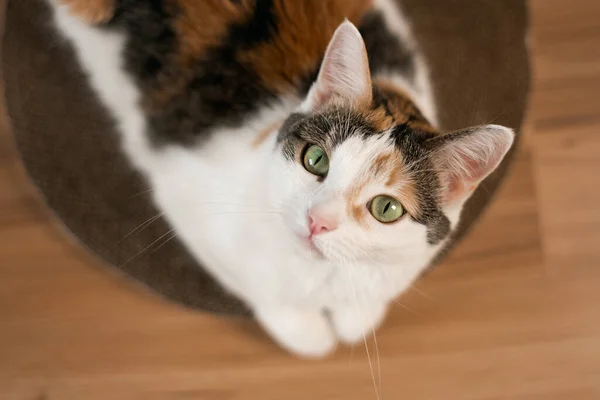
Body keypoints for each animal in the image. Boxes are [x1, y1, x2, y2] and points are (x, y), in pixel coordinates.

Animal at [49, 0, 512, 356]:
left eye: (386, 208)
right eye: (316, 160)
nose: (317, 221)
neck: (321, 275)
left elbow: (362, 311)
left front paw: (355, 315)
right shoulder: (187, 199)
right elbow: (267, 293)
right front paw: (307, 330)